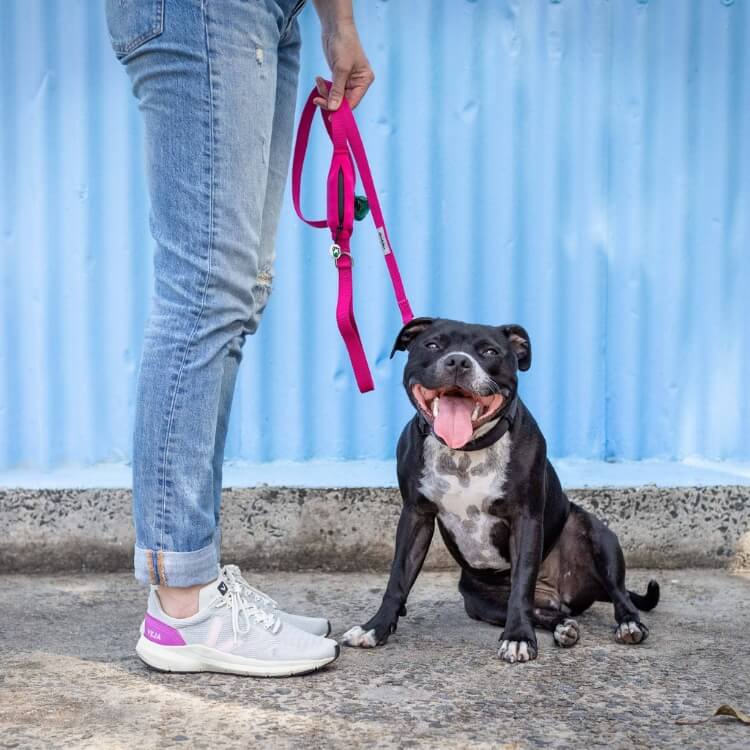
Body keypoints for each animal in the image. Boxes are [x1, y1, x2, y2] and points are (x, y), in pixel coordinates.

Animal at [344, 318, 660, 664]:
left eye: (490, 352)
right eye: (433, 345)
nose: (458, 361)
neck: (464, 452)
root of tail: (557, 594)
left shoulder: (525, 519)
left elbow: (521, 584)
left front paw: (518, 638)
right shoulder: (416, 515)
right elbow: (397, 579)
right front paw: (375, 628)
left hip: (598, 537)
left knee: (617, 592)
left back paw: (629, 623)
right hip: (480, 602)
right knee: (542, 612)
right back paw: (562, 626)